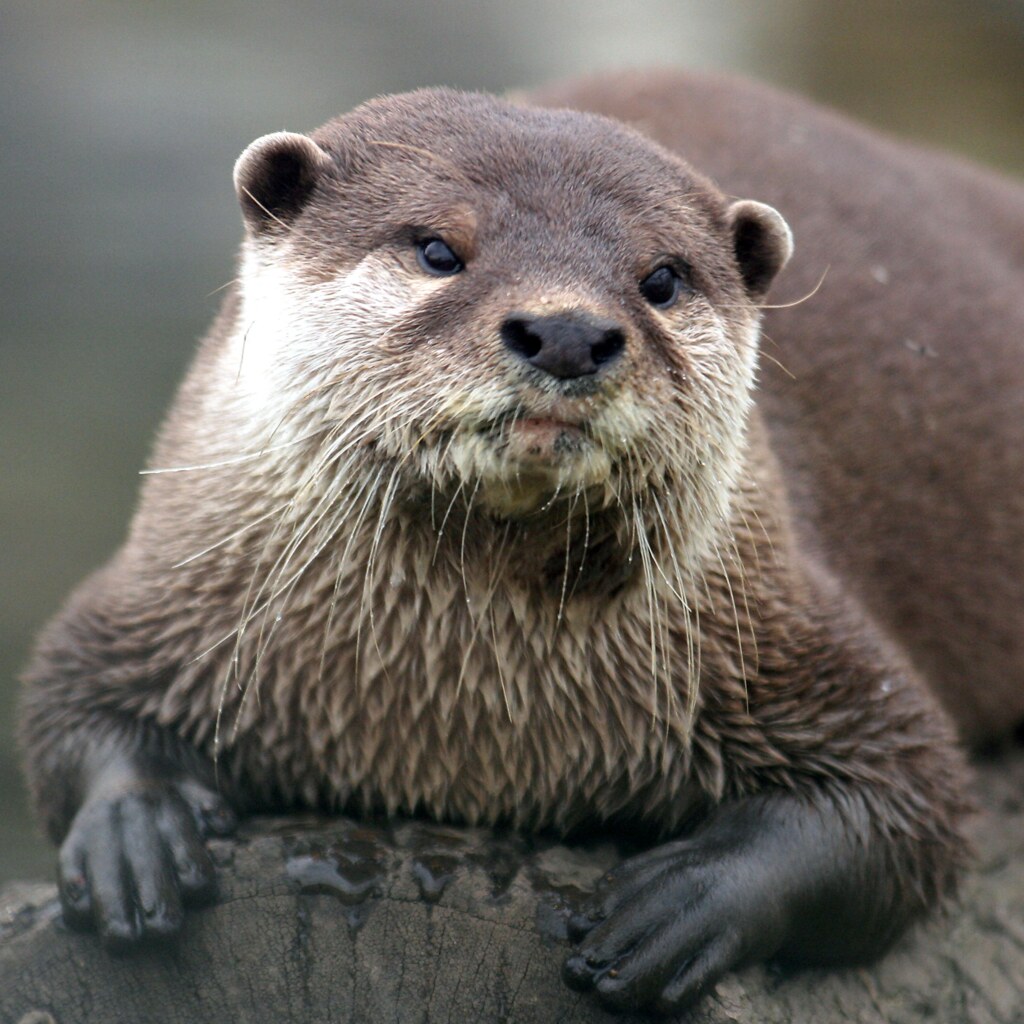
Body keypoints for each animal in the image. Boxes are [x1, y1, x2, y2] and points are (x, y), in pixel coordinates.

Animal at [20, 70, 1024, 1015]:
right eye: (437, 248)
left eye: (661, 278)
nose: (570, 331)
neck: (468, 721)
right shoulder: (161, 585)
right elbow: (69, 700)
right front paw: (135, 828)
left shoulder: (792, 631)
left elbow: (911, 804)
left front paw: (683, 900)